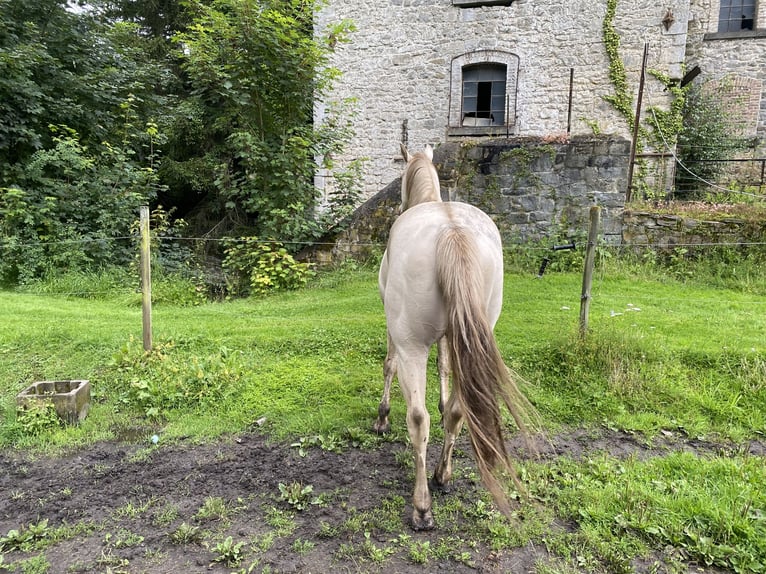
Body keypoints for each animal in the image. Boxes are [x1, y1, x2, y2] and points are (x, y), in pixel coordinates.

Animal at [376, 143, 536, 532]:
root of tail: (452, 231)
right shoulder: (452, 334)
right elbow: (446, 368)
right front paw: (442, 399)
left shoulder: (394, 332)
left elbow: (388, 366)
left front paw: (382, 418)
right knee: (458, 411)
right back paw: (442, 475)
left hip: (412, 346)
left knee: (418, 420)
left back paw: (422, 507)